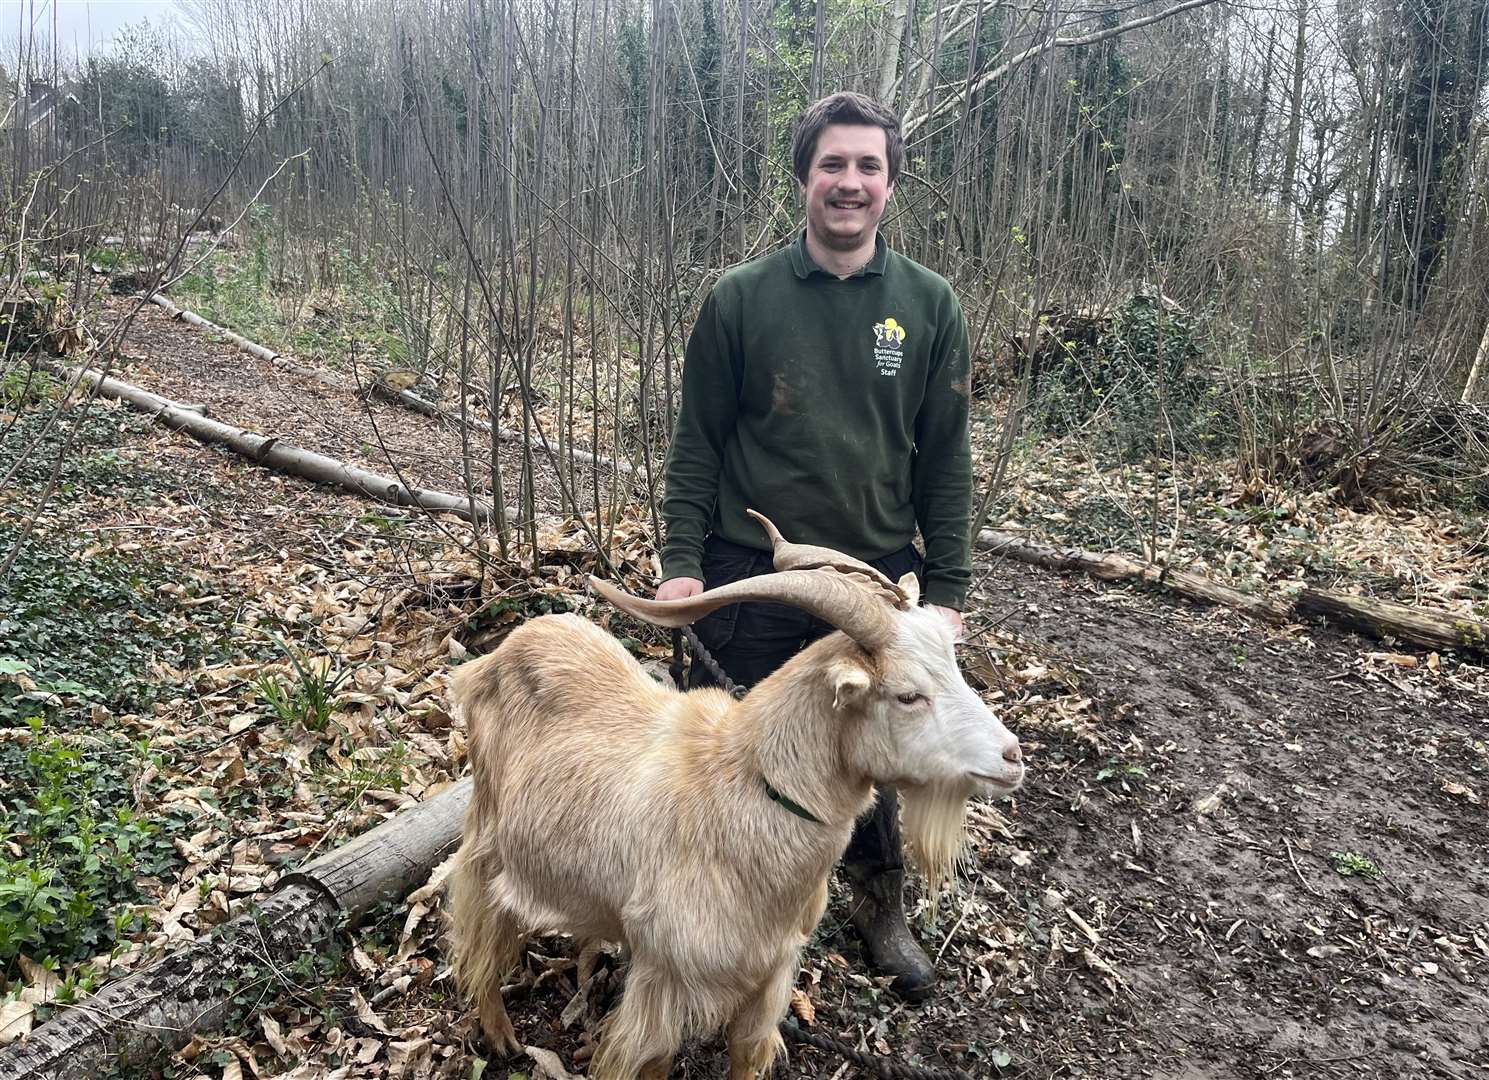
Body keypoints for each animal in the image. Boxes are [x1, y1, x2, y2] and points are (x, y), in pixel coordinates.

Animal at [443, 515, 1024, 1078]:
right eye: (908, 695)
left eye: (954, 665)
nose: (1012, 757)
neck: (741, 788)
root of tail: (491, 659)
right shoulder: (665, 979)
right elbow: (655, 1062)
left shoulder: (770, 975)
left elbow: (745, 1051)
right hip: (485, 831)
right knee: (478, 927)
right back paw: (499, 1033)